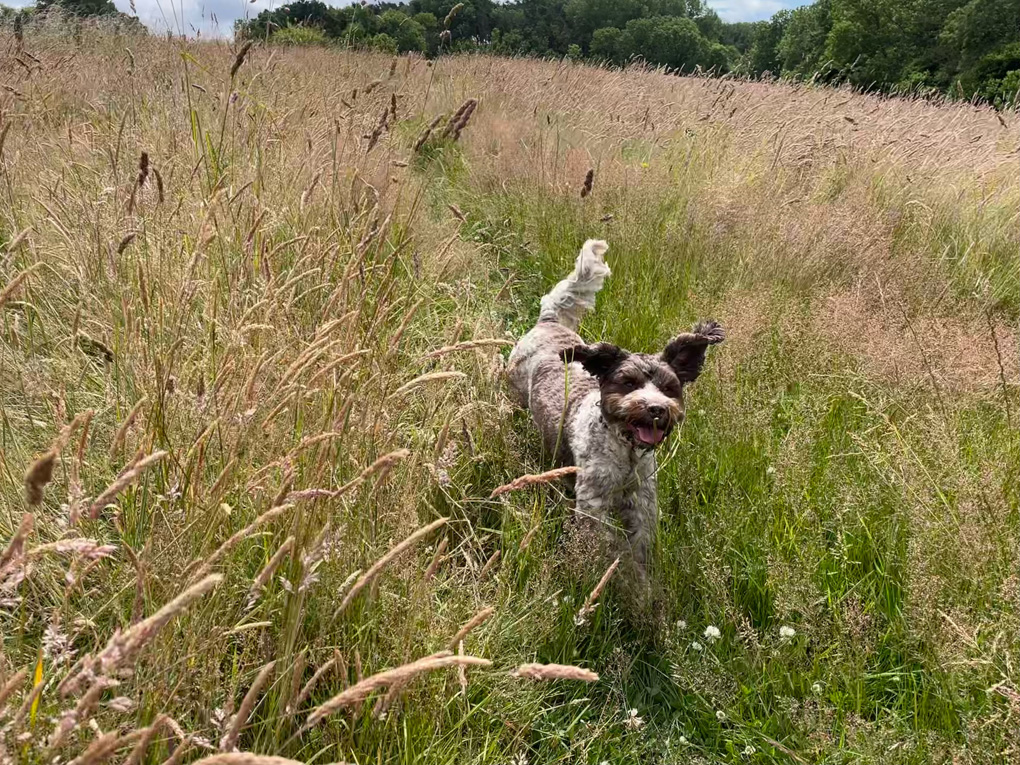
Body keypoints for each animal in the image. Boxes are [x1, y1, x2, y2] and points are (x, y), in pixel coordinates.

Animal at [505, 239, 722, 575]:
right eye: (628, 383)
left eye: (669, 389)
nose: (656, 409)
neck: (626, 454)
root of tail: (549, 322)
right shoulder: (595, 504)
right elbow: (609, 549)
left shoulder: (642, 506)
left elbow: (639, 550)